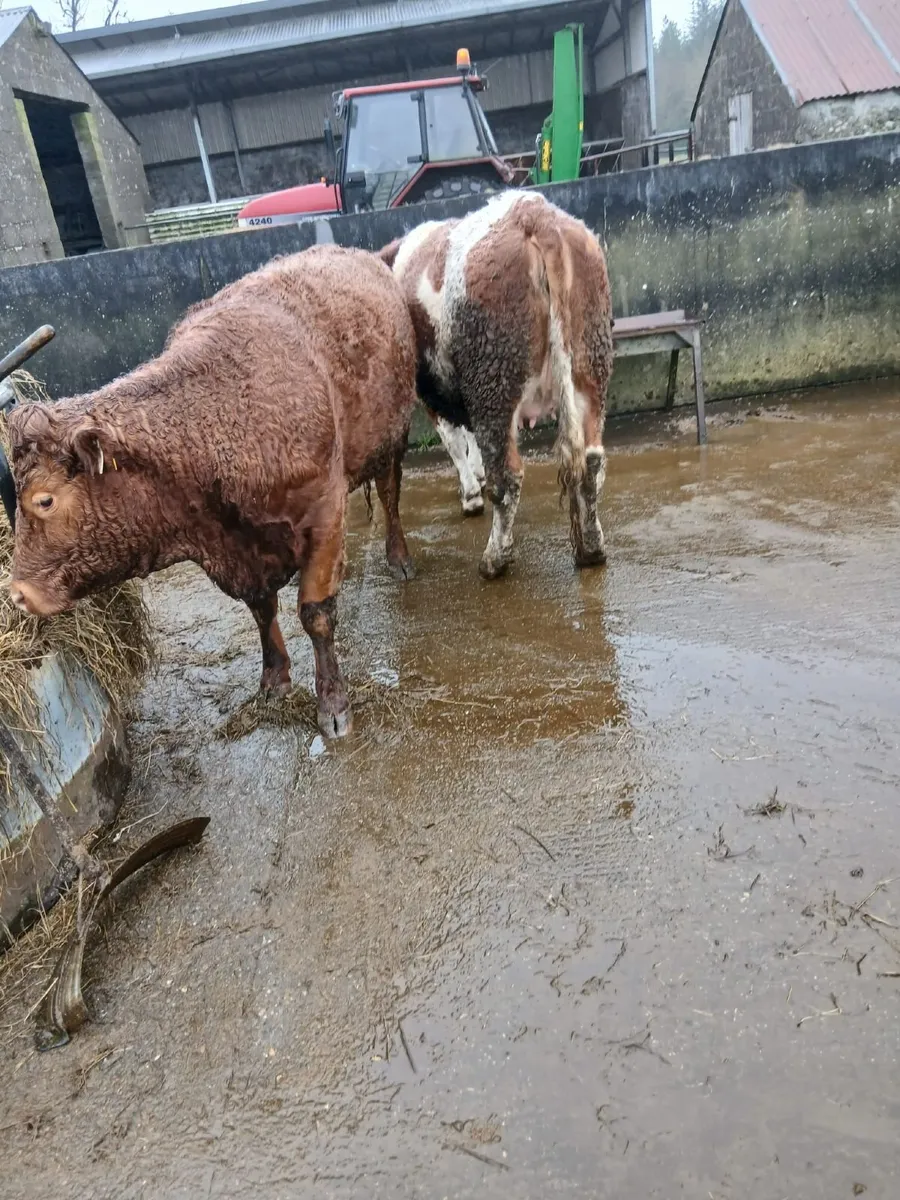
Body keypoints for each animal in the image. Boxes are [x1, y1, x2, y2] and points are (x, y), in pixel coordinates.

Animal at [7, 245, 419, 745]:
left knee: (391, 494)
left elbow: (316, 614)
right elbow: (262, 610)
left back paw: (399, 557)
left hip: (393, 438)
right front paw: (274, 680)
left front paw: (334, 705)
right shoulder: (240, 551)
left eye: (44, 500)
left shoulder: (323, 516)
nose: (17, 594)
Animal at [380, 191, 614, 578]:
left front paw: (471, 495)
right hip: (588, 370)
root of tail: (534, 215)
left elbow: (456, 443)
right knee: (591, 463)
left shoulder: (434, 395)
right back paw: (592, 547)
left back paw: (494, 559)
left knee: (508, 476)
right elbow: (471, 441)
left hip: (493, 382)